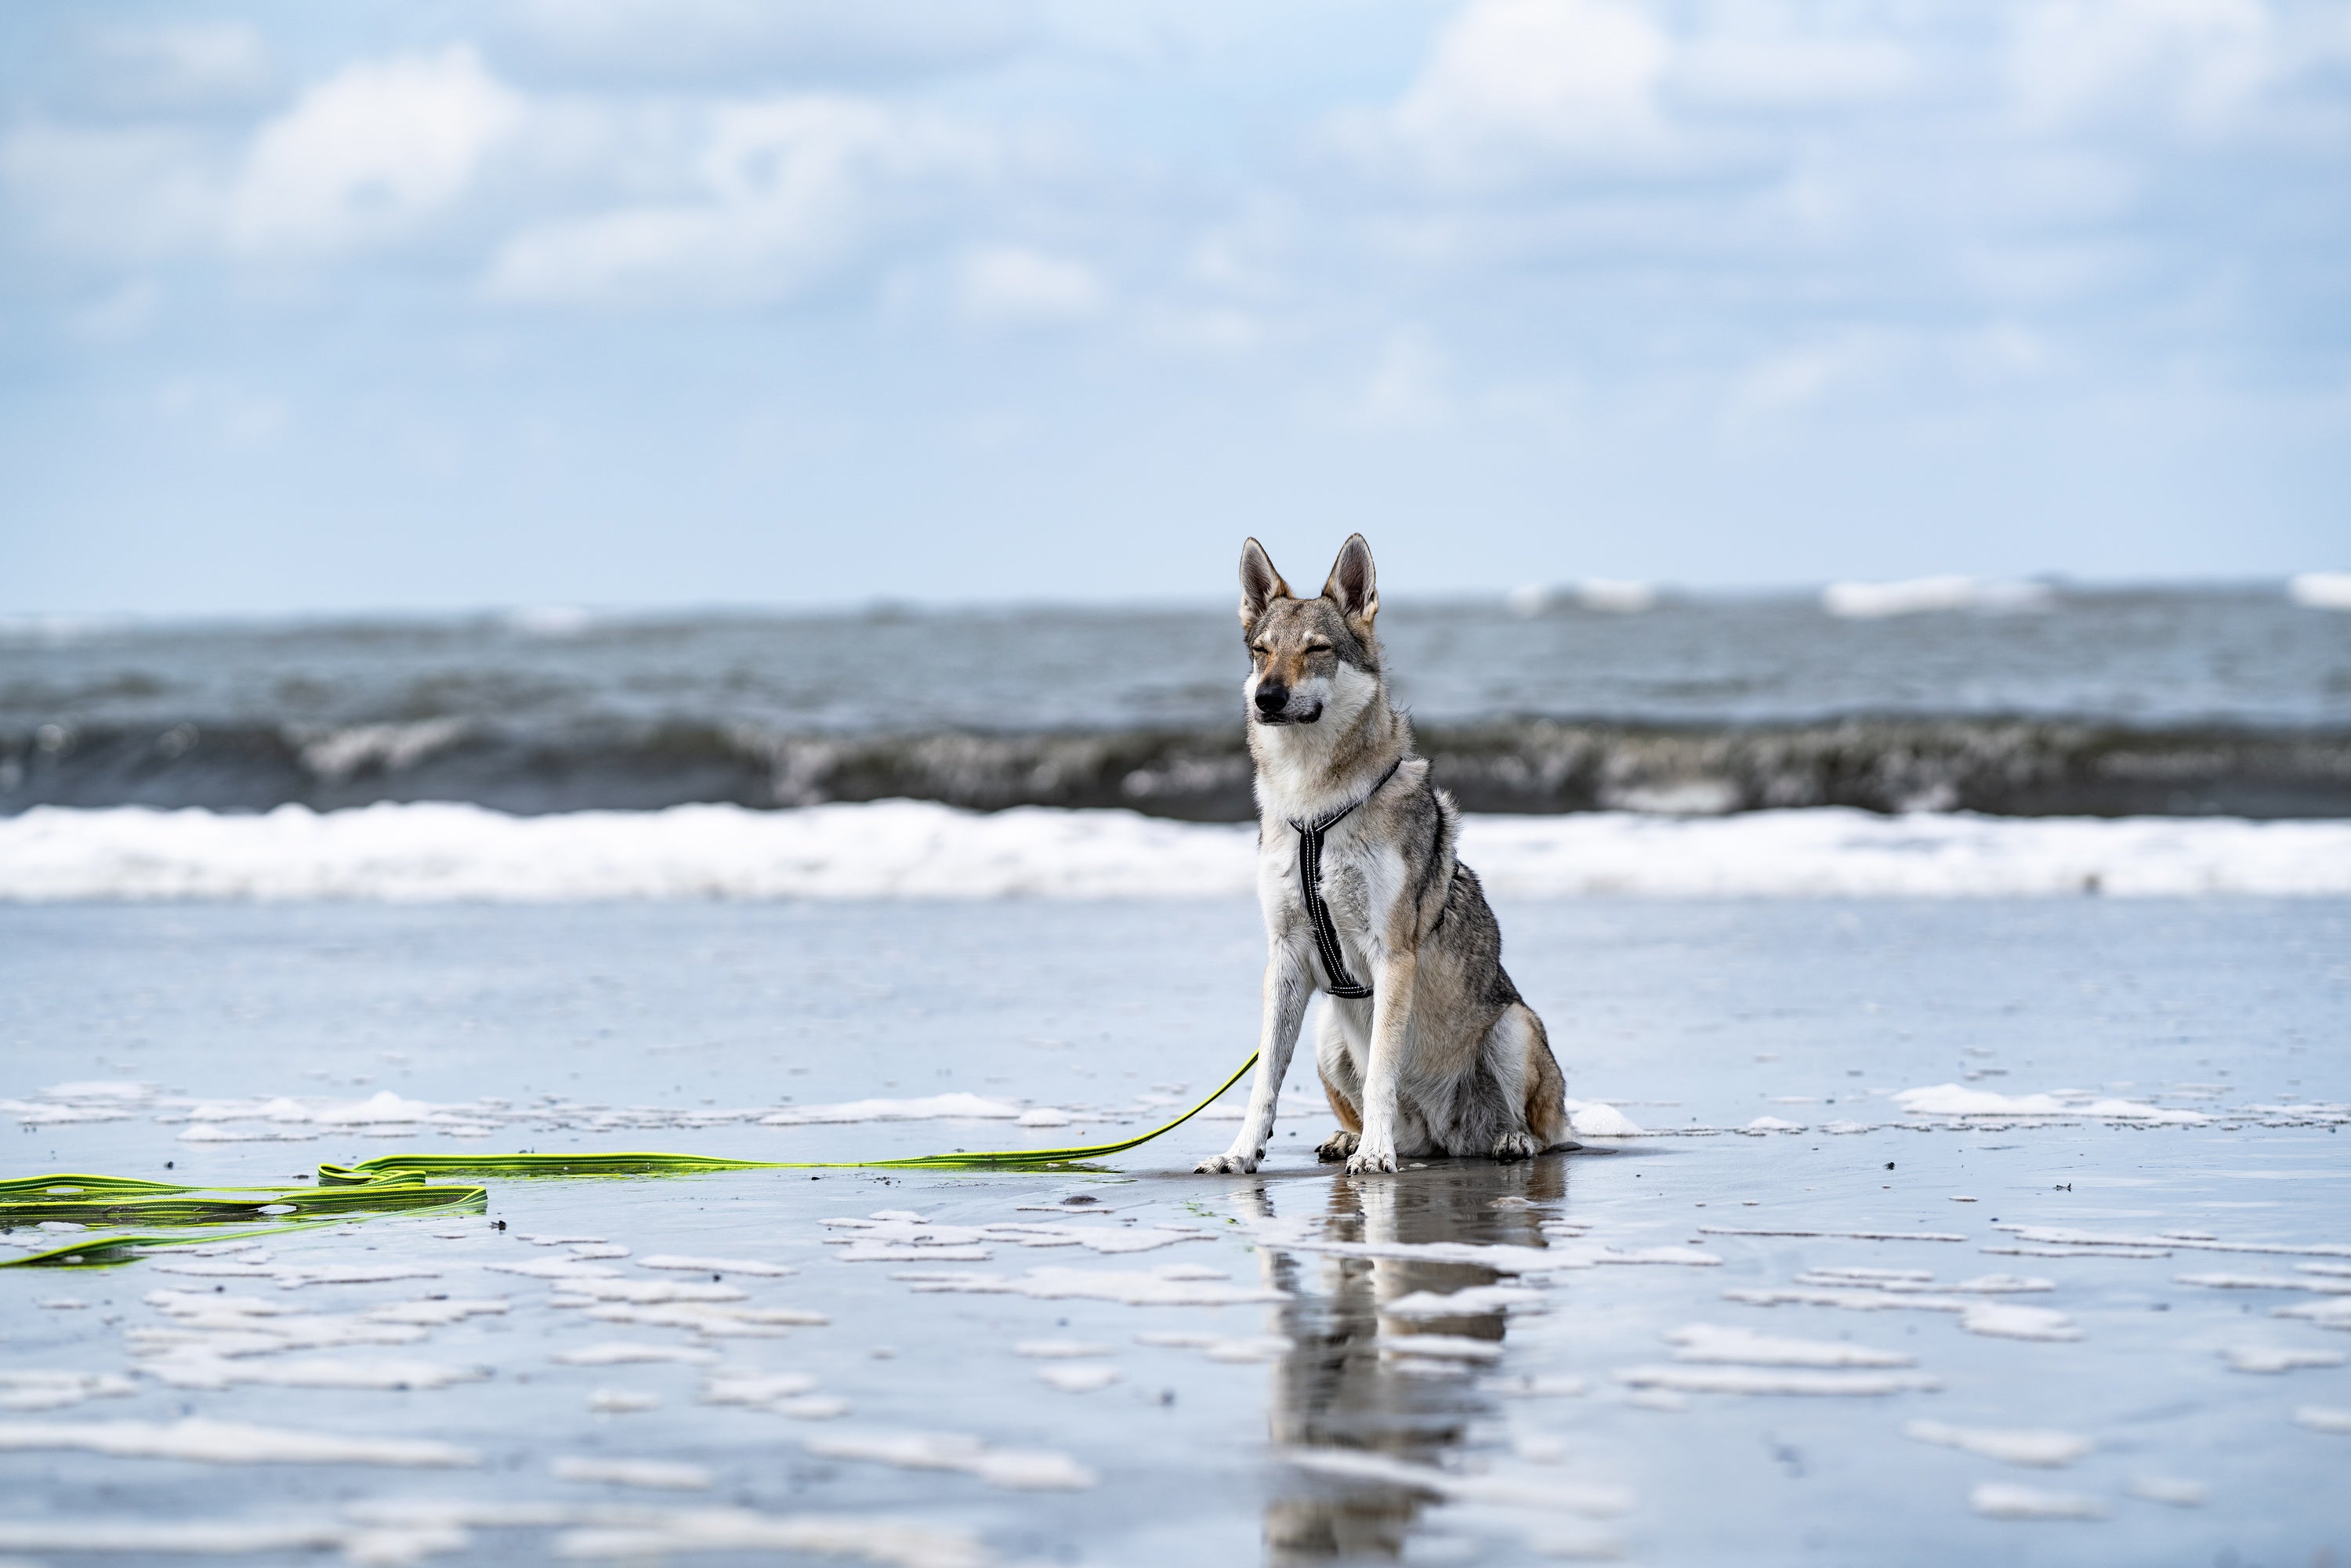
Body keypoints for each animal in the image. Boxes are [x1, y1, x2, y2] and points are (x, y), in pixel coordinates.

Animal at [1204, 534, 1570, 1171]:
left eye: (1317, 649)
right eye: (1261, 652)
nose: (1266, 698)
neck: (1315, 811)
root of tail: (1445, 1135)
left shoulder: (1392, 955)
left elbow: (1381, 1072)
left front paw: (1375, 1157)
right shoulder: (1285, 958)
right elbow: (1264, 1081)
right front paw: (1241, 1153)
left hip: (1515, 1026)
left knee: (1538, 1130)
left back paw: (1504, 1139)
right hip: (1326, 1030)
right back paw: (1349, 1138)